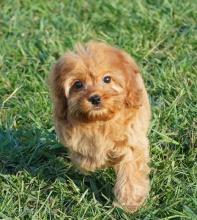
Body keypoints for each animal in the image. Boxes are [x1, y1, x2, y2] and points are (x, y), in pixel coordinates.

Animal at [48, 41, 151, 213]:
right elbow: (85, 154)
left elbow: (129, 170)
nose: (95, 98)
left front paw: (128, 202)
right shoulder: (71, 135)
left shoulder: (131, 140)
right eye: (78, 84)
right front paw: (94, 162)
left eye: (107, 79)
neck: (100, 119)